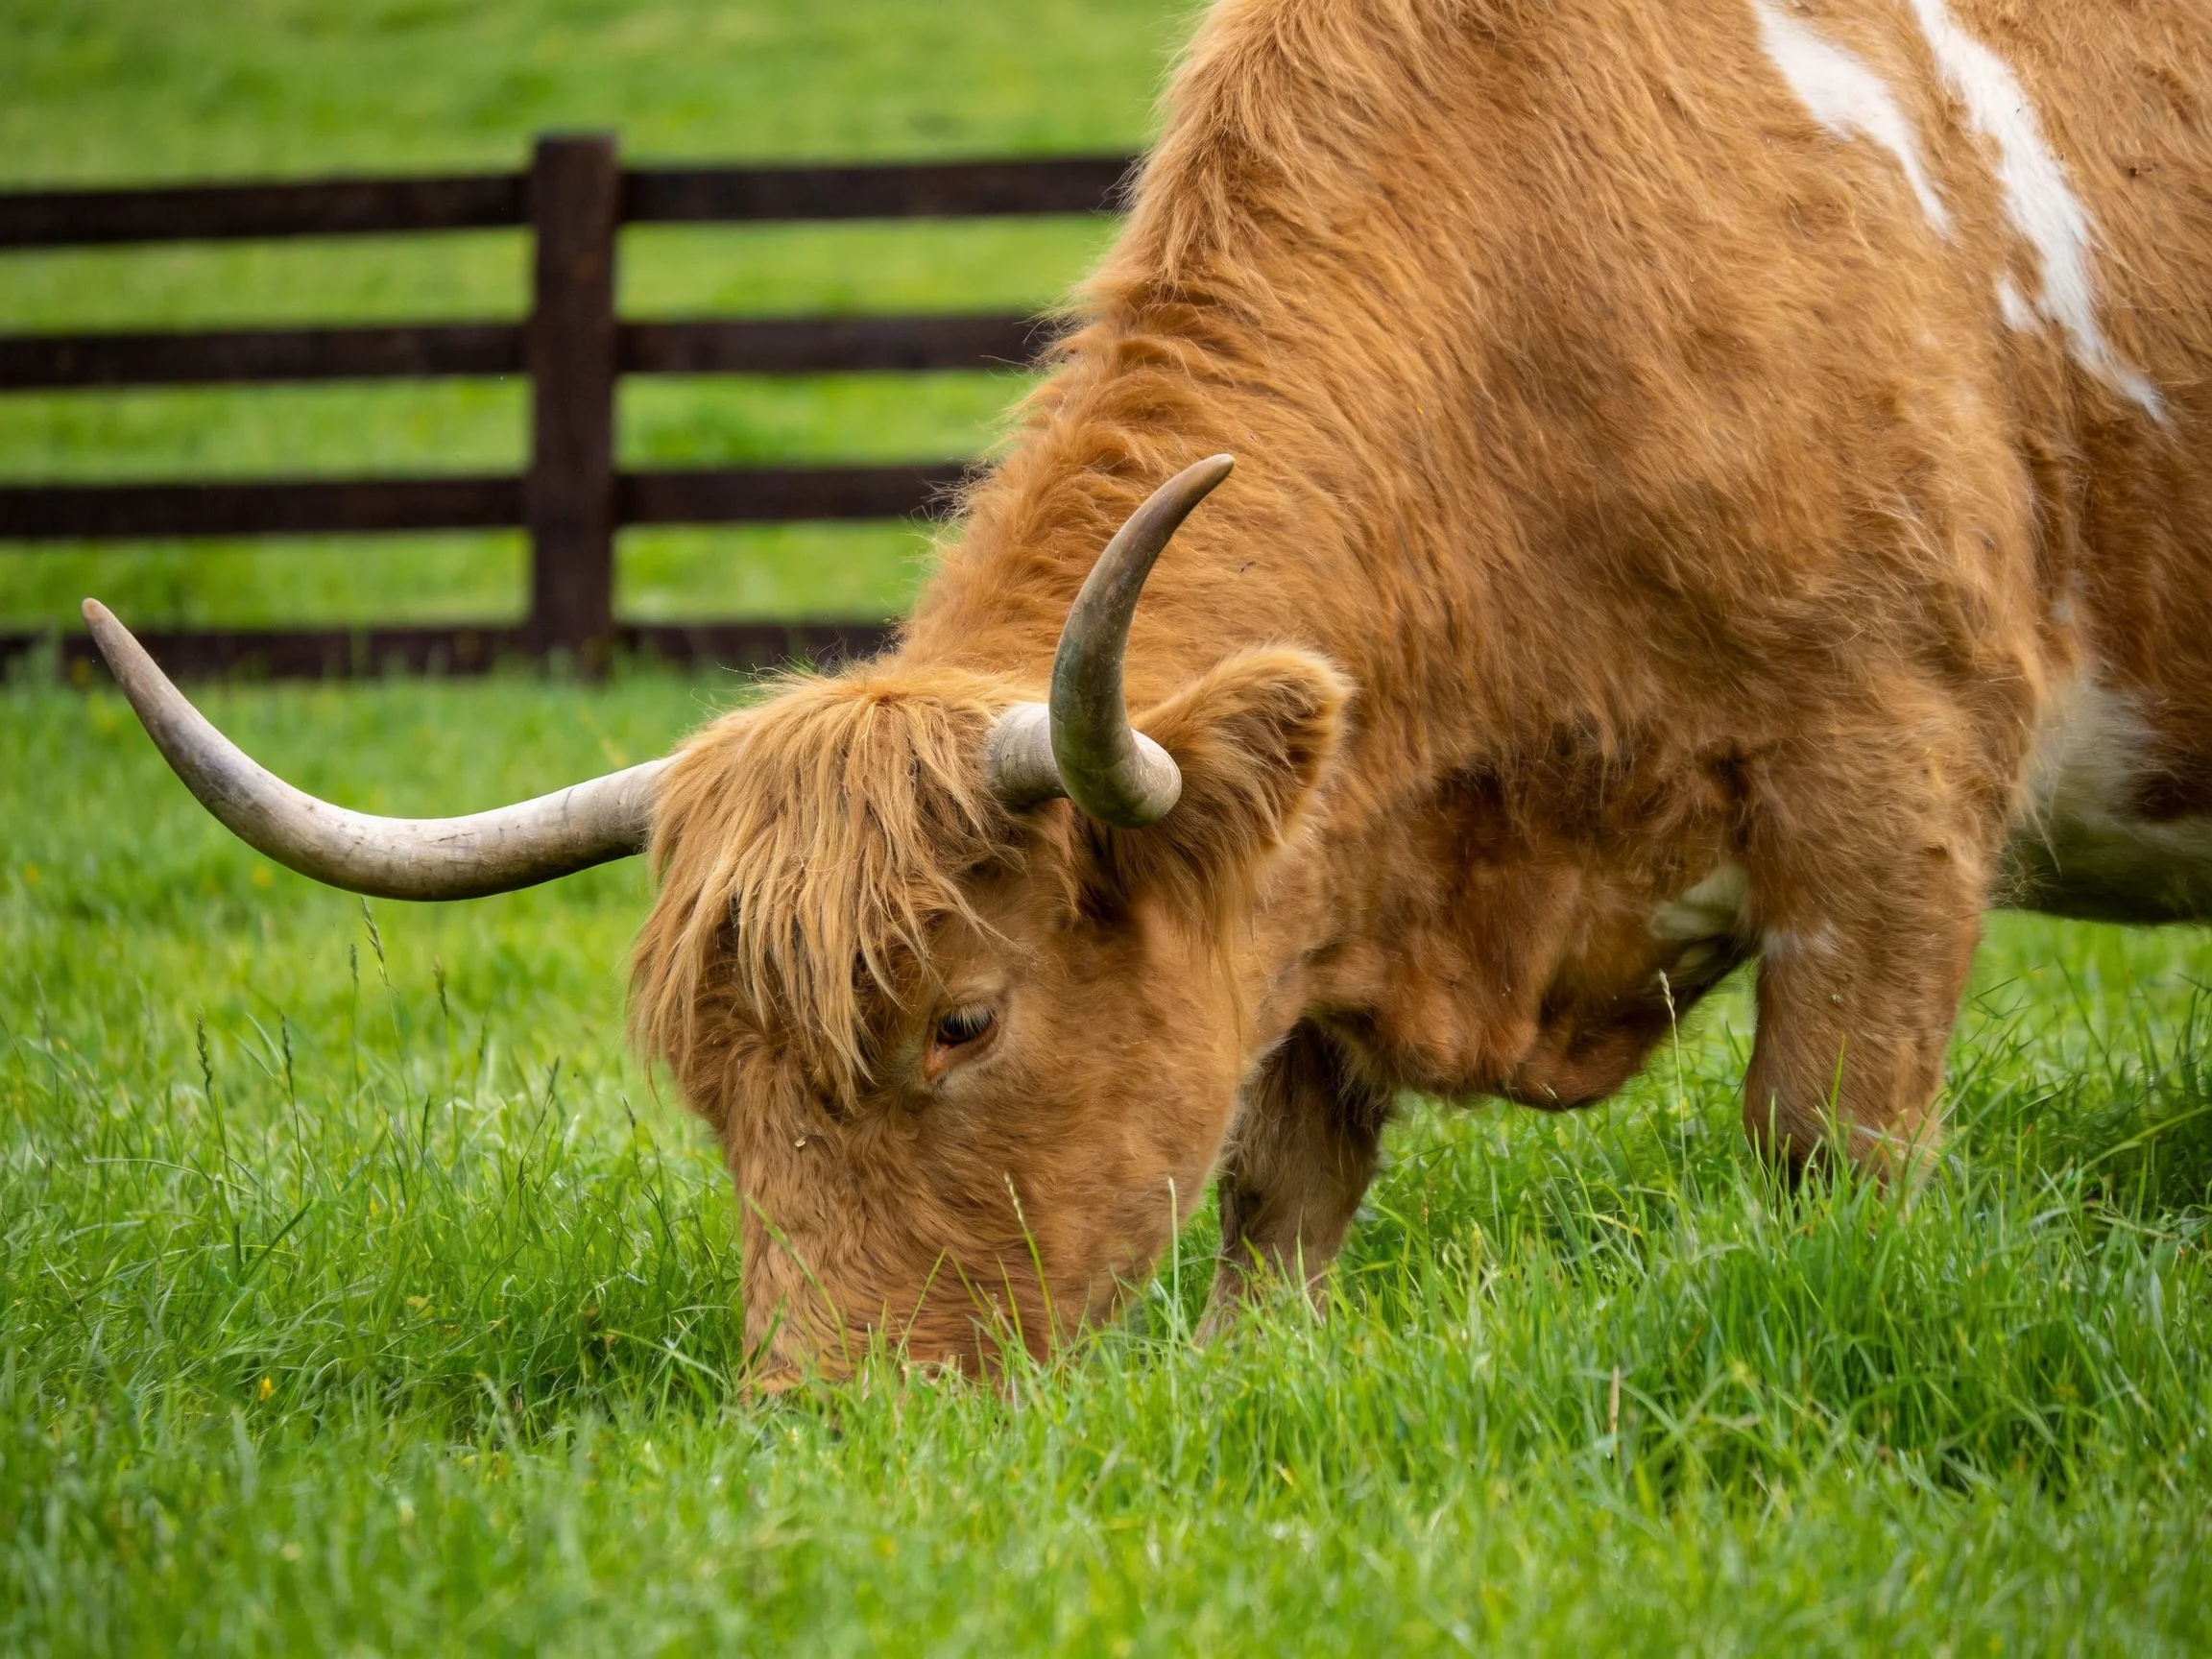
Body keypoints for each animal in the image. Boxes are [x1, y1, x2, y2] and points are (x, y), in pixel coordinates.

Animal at [86, 0, 2212, 1379]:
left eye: (960, 1020)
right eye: (708, 1083)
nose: (827, 1424)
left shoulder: (1889, 784)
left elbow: (1827, 1149)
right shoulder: (1312, 896)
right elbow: (1271, 1206)